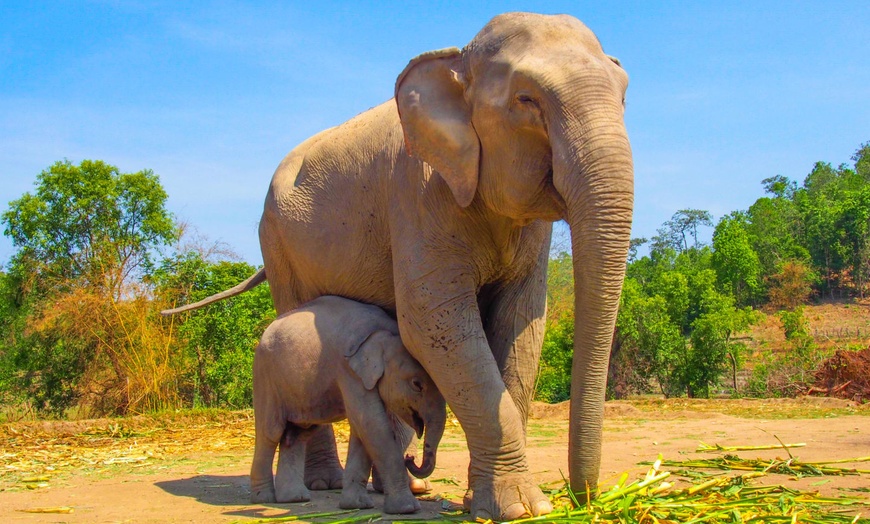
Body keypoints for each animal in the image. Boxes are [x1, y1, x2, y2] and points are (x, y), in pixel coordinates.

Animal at [250, 296, 442, 512]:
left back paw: (294, 498)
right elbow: (372, 424)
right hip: (266, 376)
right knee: (271, 432)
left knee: (298, 434)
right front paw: (407, 509)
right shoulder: (348, 370)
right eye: (417, 384)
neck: (383, 331)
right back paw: (264, 498)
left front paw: (356, 505)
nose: (410, 459)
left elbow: (363, 429)